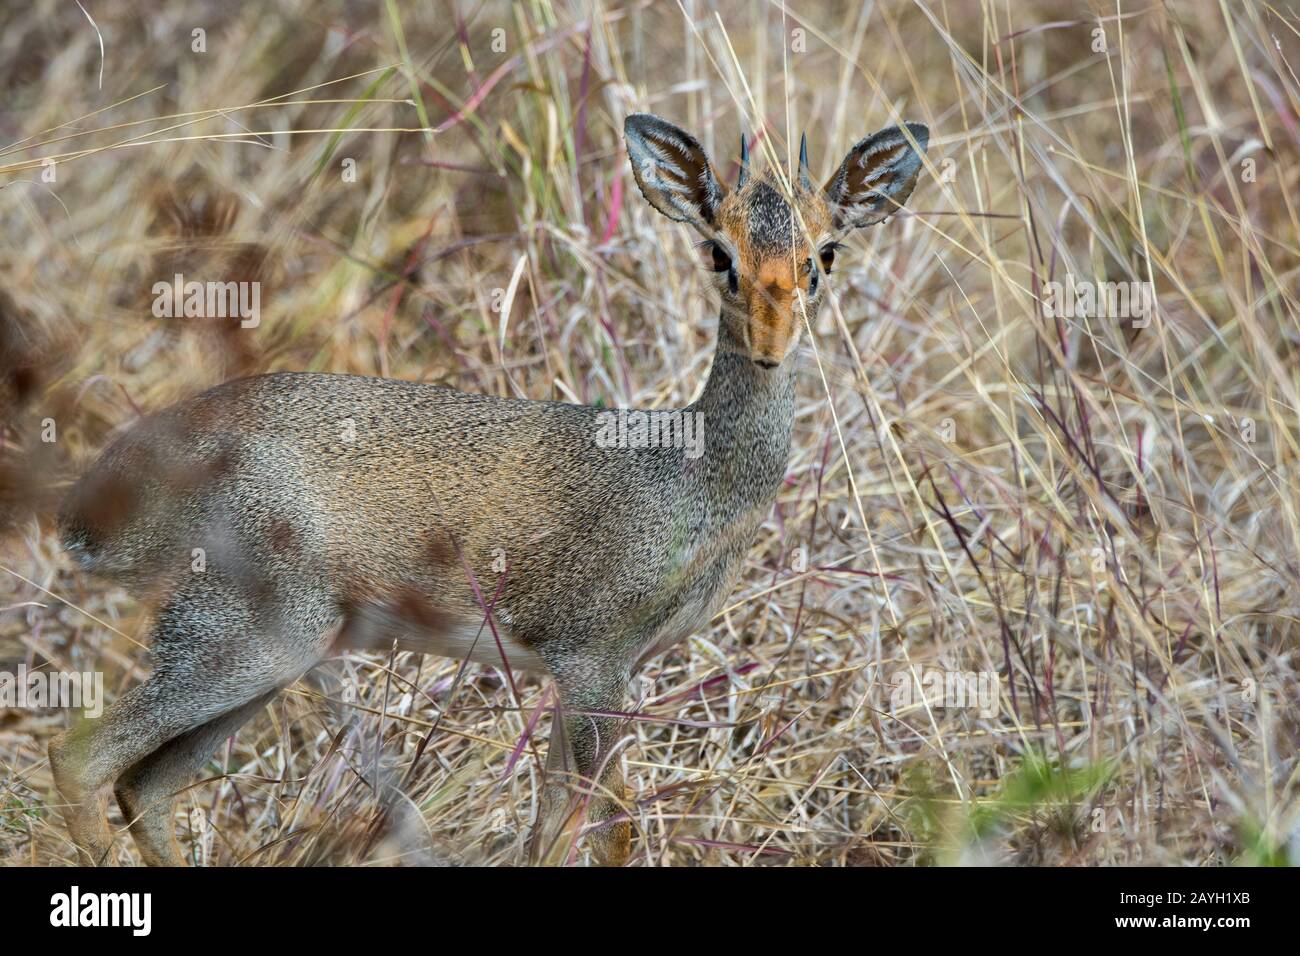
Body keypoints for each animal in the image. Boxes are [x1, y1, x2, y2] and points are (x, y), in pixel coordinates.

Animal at [48, 113, 925, 868]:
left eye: (825, 255)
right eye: (719, 253)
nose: (771, 343)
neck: (693, 477)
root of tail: (102, 492)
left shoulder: (595, 674)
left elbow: (555, 824)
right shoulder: (592, 662)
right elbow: (607, 827)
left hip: (272, 654)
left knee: (144, 784)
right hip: (244, 635)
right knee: (81, 757)